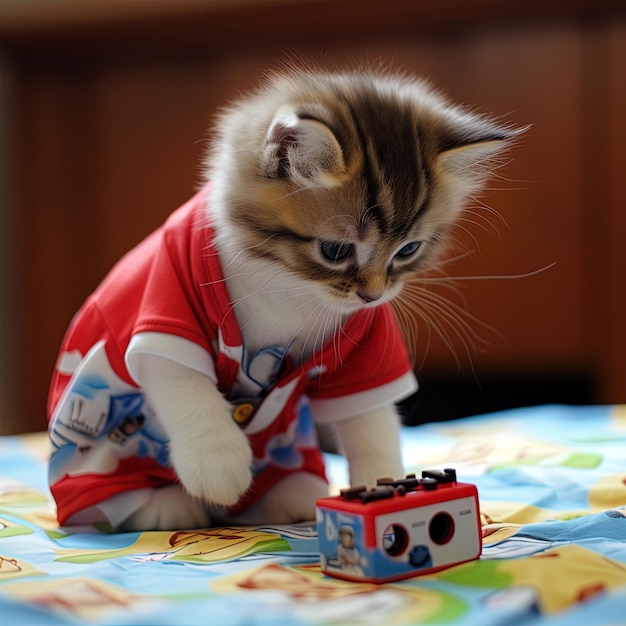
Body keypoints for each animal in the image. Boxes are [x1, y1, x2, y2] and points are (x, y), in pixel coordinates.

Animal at [47, 67, 516, 528]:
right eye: (335, 250)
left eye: (408, 250)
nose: (372, 296)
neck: (289, 281)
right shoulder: (164, 300)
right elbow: (186, 386)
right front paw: (218, 467)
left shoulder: (366, 349)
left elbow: (370, 424)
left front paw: (384, 490)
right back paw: (168, 505)